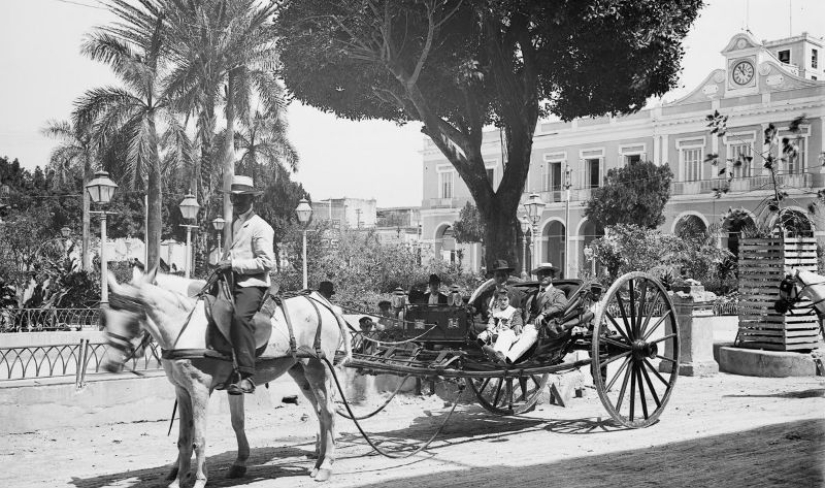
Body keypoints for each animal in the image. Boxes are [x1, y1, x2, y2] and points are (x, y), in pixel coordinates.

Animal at [101, 268, 350, 486]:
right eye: (105, 317)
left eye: (131, 320)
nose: (110, 364)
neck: (184, 326)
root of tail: (325, 305)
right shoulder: (183, 391)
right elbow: (186, 439)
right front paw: (179, 479)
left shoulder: (200, 389)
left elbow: (199, 438)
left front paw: (200, 479)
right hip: (301, 372)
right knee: (321, 413)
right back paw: (318, 462)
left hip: (318, 368)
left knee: (329, 412)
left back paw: (326, 466)